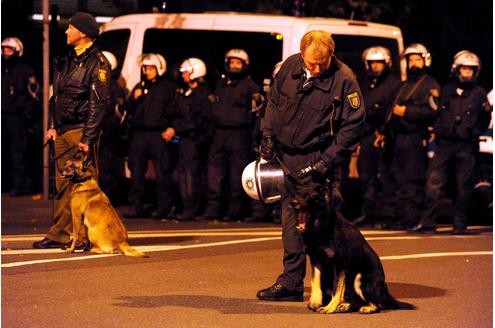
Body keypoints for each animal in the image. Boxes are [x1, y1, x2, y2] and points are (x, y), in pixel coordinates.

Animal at [290, 186, 414, 314]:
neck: (320, 227)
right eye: (296, 194)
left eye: (307, 197)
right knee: (357, 300)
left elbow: (336, 289)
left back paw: (367, 308)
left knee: (377, 304)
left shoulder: (340, 266)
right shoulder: (316, 261)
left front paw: (329, 307)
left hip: (359, 279)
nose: (292, 203)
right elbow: (314, 282)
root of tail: (384, 290)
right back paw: (346, 305)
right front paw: (315, 302)